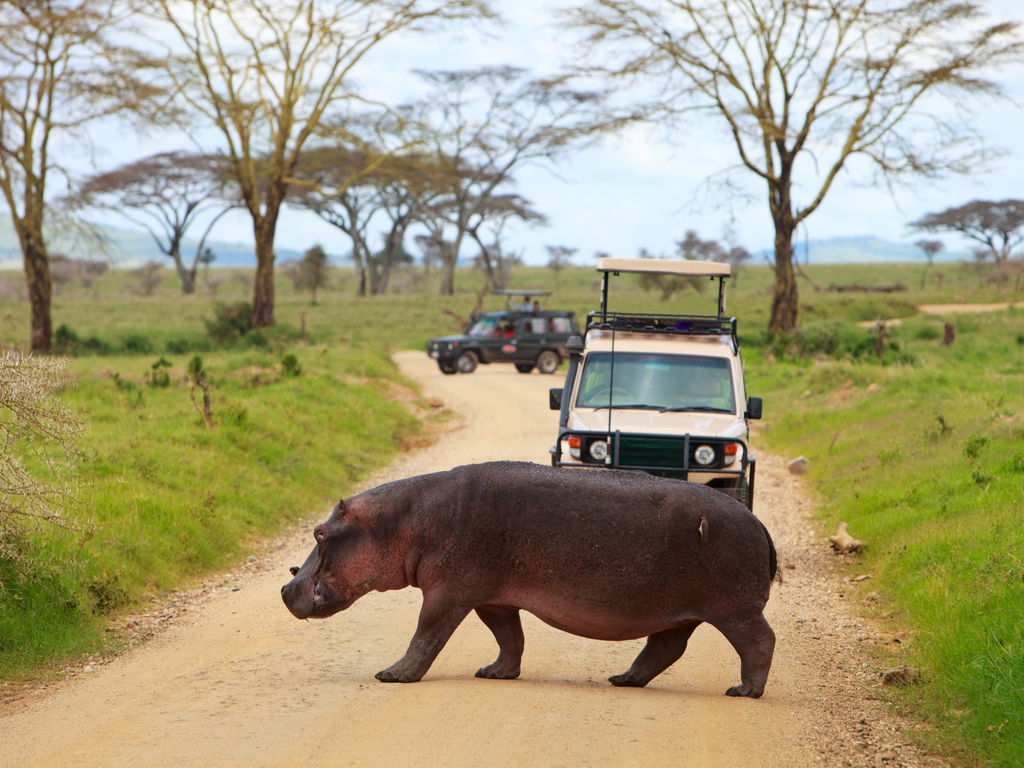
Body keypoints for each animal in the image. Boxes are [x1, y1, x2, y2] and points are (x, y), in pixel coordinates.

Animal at [280, 462, 774, 696]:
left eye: (320, 533)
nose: (285, 588)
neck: (402, 521)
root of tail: (759, 524)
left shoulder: (448, 594)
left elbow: (426, 635)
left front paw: (391, 676)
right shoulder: (492, 599)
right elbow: (509, 637)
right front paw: (494, 673)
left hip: (735, 609)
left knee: (759, 641)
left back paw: (743, 691)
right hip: (681, 613)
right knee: (665, 647)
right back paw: (622, 680)